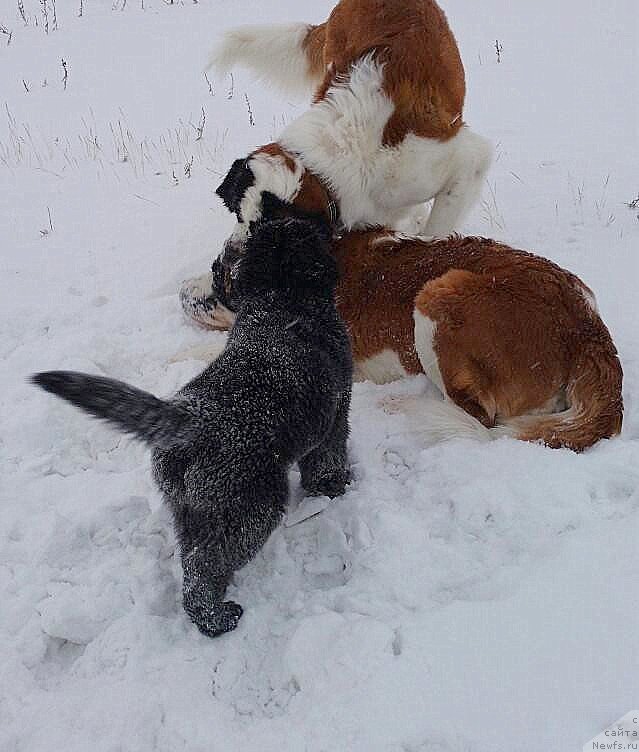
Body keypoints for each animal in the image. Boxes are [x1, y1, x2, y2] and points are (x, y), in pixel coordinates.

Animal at [32, 220, 352, 636]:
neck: (280, 300)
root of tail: (186, 421)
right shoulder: (338, 409)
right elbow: (328, 456)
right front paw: (332, 486)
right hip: (249, 511)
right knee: (206, 568)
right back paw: (217, 617)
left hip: (192, 510)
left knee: (193, 562)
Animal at [182, 229, 624, 452]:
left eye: (218, 274)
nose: (183, 293)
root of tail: (588, 329)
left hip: (439, 293)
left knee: (478, 417)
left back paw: (400, 404)